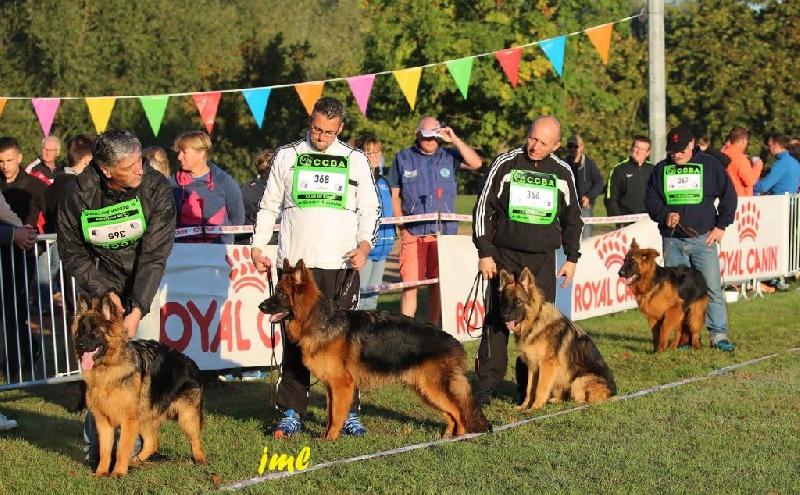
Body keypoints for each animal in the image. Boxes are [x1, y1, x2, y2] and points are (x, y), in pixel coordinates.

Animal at [72, 294, 208, 476]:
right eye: (81, 330)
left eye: (95, 331)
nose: (78, 345)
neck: (107, 369)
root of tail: (191, 362)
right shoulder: (104, 423)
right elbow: (105, 451)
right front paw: (101, 472)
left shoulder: (128, 421)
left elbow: (122, 449)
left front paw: (118, 473)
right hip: (144, 418)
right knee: (152, 443)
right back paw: (135, 461)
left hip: (187, 417)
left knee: (195, 440)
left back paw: (200, 459)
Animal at [260, 262, 490, 440]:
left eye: (281, 293)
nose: (260, 307)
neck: (318, 320)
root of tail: (453, 341)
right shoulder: (331, 387)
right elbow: (330, 414)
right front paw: (326, 435)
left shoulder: (341, 385)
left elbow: (336, 415)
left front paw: (330, 439)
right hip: (425, 390)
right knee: (451, 413)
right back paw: (445, 437)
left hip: (431, 388)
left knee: (459, 412)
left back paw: (459, 438)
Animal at [496, 268, 616, 410]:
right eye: (504, 301)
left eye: (518, 301)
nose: (503, 316)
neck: (535, 322)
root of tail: (613, 394)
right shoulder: (532, 366)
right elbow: (530, 388)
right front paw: (524, 406)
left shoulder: (546, 365)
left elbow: (540, 389)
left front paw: (534, 408)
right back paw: (556, 400)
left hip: (579, 380)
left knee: (582, 400)